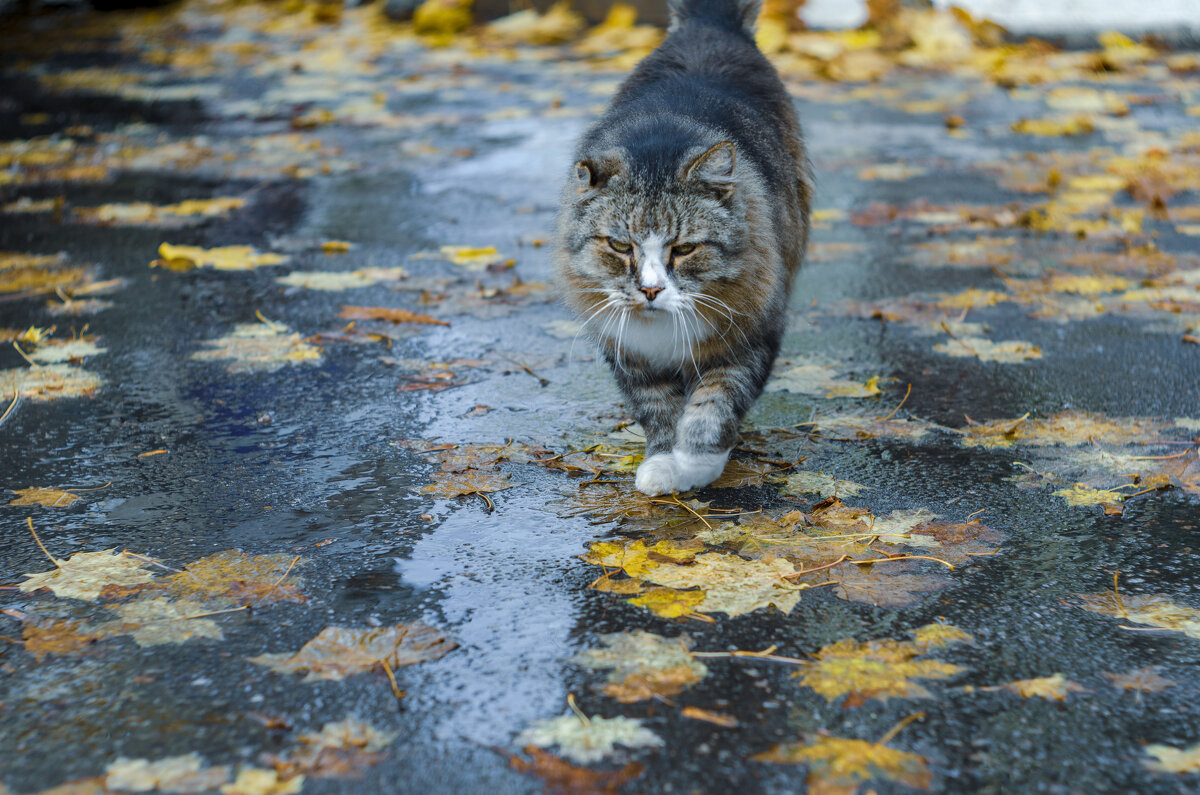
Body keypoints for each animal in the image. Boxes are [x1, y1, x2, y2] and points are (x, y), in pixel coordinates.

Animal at [556, 0, 811, 494]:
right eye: (620, 246)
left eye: (685, 249)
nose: (651, 290)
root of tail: (709, 25)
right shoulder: (631, 355)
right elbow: (660, 413)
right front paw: (661, 464)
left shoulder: (750, 338)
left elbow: (712, 409)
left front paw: (695, 466)